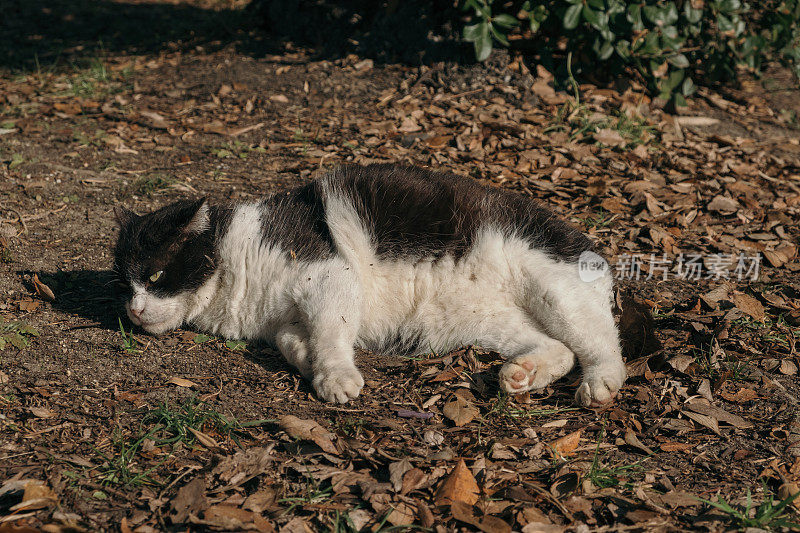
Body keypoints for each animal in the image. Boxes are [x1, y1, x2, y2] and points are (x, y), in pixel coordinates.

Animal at [114, 164, 624, 406]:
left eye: (155, 275)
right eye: (124, 283)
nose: (133, 310)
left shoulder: (327, 277)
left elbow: (330, 332)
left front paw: (336, 377)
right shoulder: (283, 322)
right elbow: (294, 342)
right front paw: (310, 363)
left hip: (553, 289)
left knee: (603, 344)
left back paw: (599, 385)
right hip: (478, 324)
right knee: (559, 349)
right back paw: (523, 374)